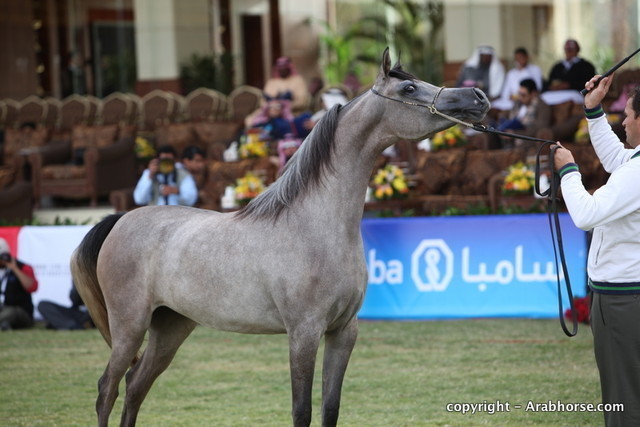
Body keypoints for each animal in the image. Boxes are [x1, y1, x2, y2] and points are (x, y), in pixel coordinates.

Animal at [71, 48, 489, 427]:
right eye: (408, 87)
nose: (477, 97)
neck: (314, 226)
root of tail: (122, 220)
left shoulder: (343, 332)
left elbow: (330, 409)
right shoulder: (303, 334)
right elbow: (302, 411)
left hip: (170, 328)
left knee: (135, 387)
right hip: (129, 326)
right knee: (107, 389)